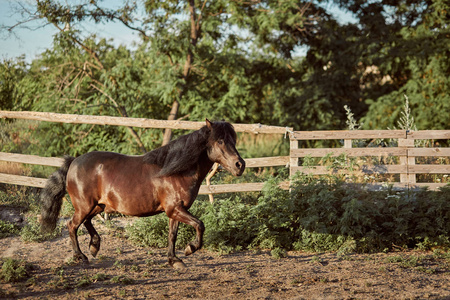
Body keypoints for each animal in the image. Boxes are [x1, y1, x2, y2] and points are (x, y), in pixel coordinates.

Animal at [40, 118, 246, 268]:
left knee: (86, 222)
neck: (175, 171)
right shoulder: (175, 209)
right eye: (220, 141)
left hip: (98, 206)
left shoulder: (175, 211)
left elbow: (172, 235)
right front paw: (190, 248)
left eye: (233, 140)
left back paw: (94, 246)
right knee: (72, 225)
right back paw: (81, 256)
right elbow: (200, 225)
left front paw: (174, 260)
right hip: (85, 206)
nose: (240, 165)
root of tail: (74, 162)